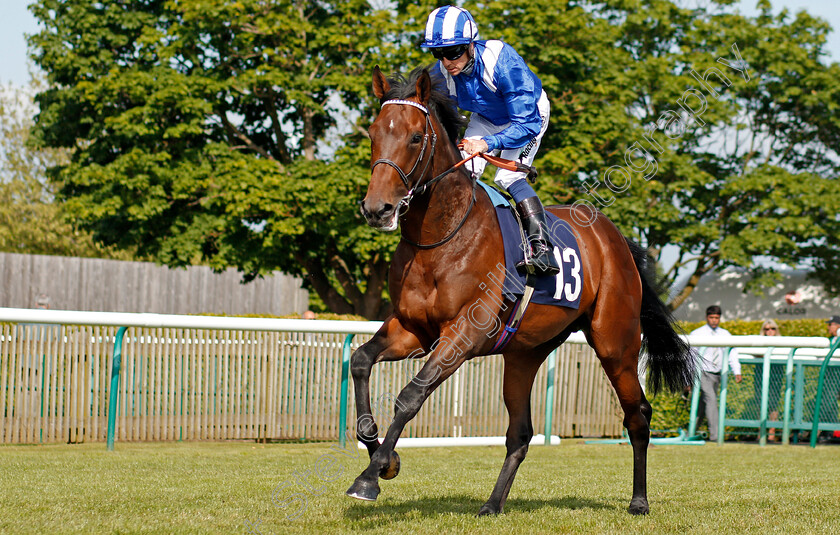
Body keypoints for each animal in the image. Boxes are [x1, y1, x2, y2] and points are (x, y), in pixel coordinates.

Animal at [344, 65, 692, 516]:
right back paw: (492, 504)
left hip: (616, 343)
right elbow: (360, 361)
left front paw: (371, 476)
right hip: (525, 353)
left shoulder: (462, 334)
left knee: (638, 415)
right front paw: (382, 458)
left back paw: (639, 501)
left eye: (416, 137)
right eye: (373, 133)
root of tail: (615, 239)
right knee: (520, 433)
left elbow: (409, 395)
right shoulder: (413, 329)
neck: (440, 238)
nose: (377, 209)